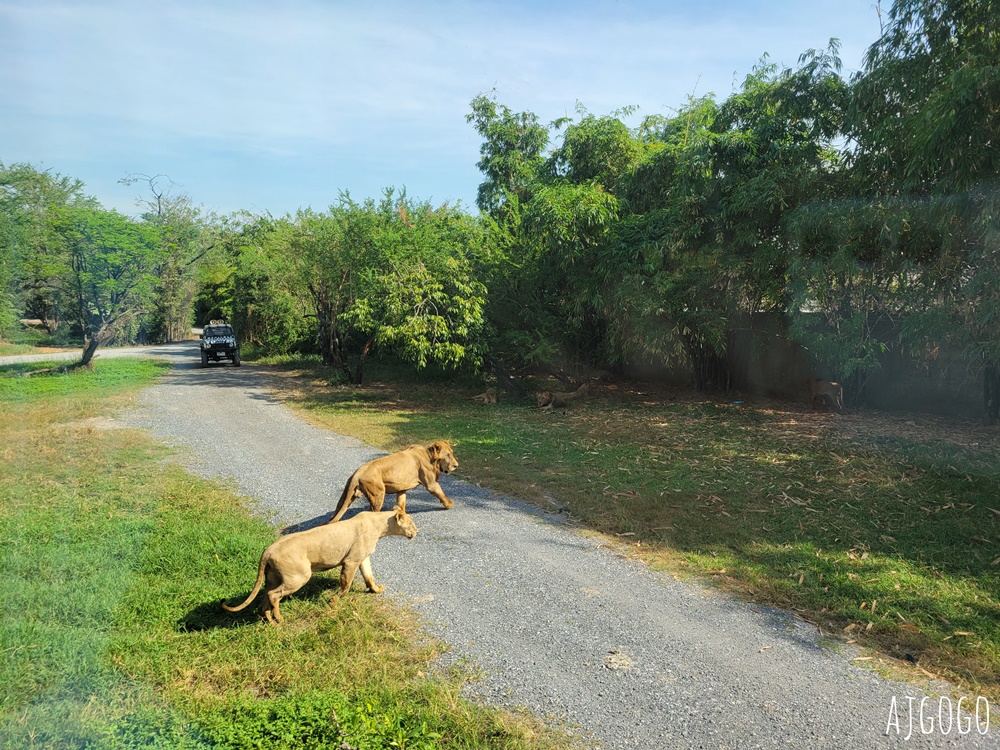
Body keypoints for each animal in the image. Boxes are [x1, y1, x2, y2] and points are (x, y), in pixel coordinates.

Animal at [221, 506, 416, 624]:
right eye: (411, 523)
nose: (417, 531)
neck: (380, 525)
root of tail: (268, 550)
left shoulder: (363, 558)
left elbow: (369, 576)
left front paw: (376, 590)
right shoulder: (351, 561)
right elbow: (346, 585)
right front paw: (333, 602)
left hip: (273, 577)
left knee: (264, 596)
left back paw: (268, 620)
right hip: (299, 576)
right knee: (273, 595)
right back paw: (280, 619)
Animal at [326, 440, 458, 524]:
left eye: (452, 453)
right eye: (447, 455)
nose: (456, 465)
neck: (430, 456)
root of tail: (357, 473)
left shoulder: (402, 488)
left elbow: (401, 502)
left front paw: (400, 514)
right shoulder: (431, 483)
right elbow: (441, 493)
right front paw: (449, 504)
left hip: (347, 494)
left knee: (337, 511)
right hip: (378, 494)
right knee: (372, 512)